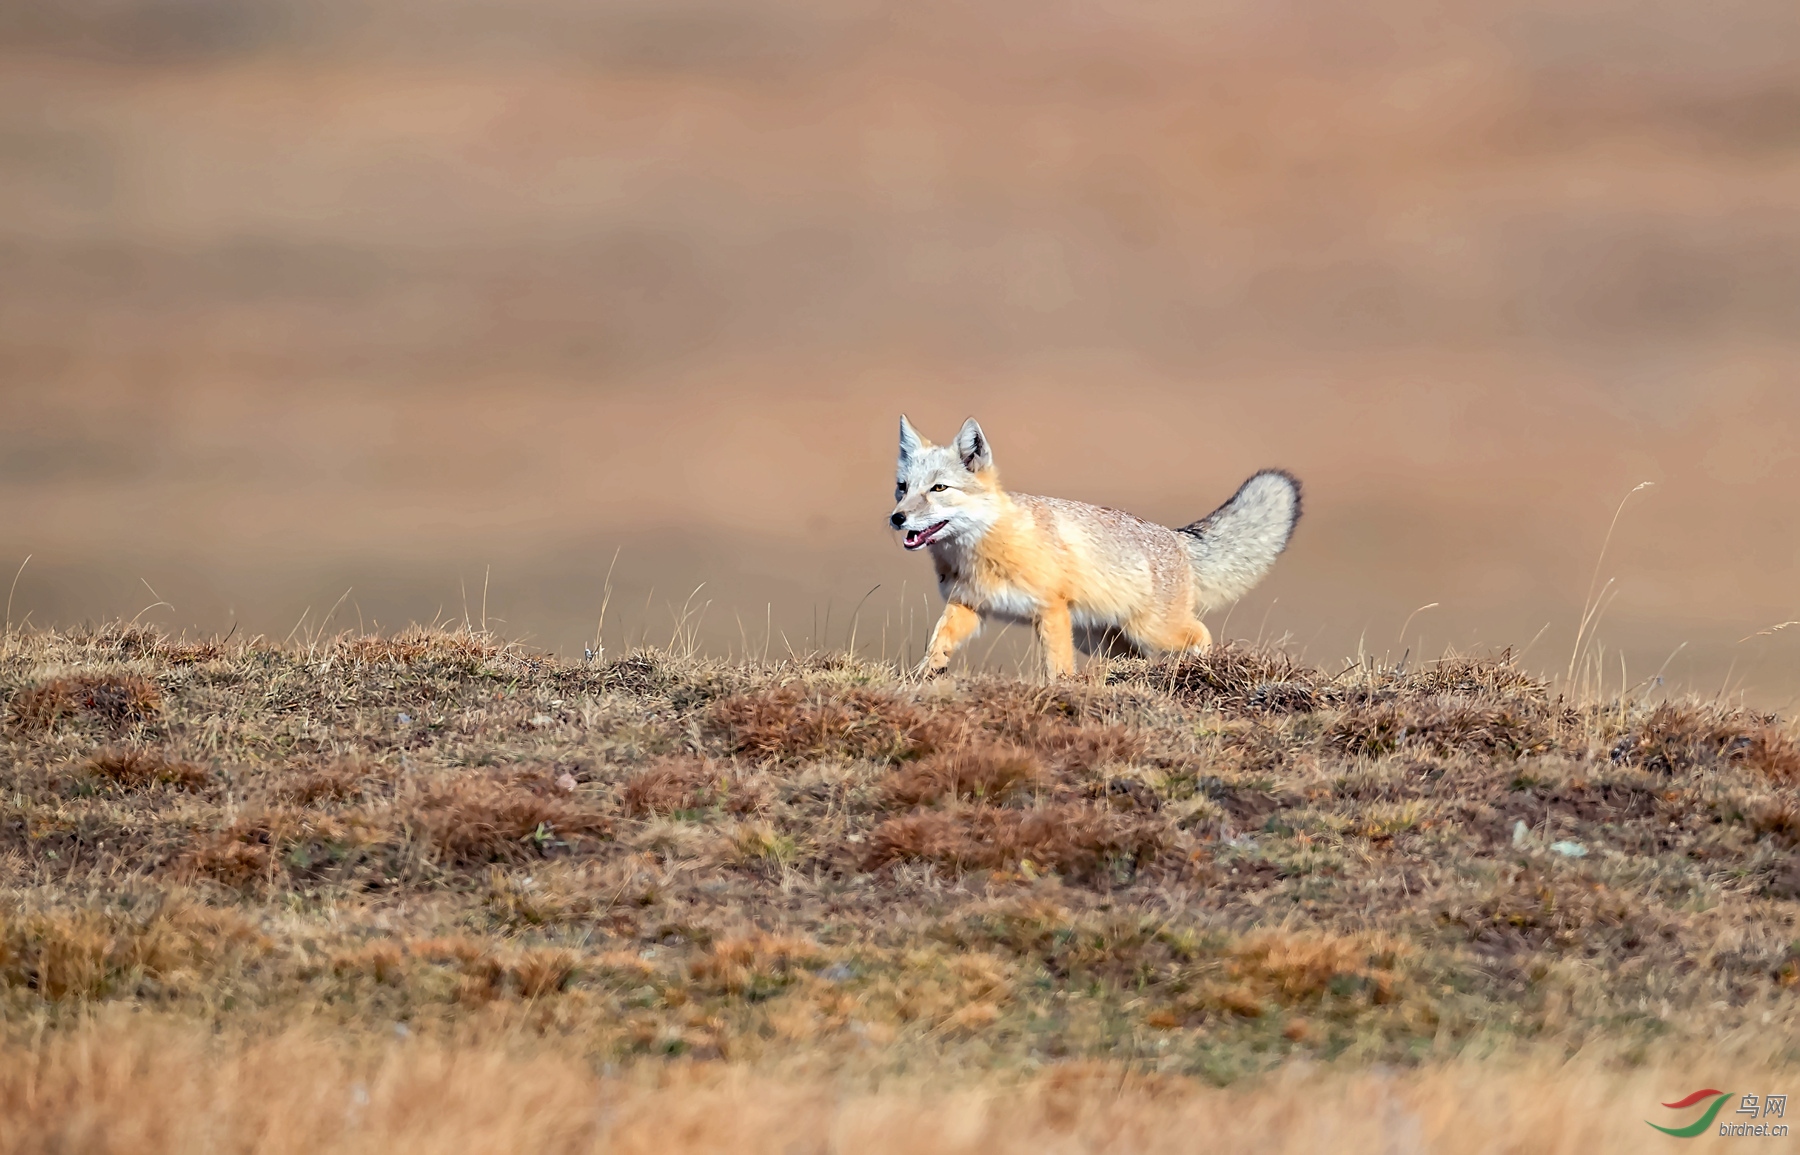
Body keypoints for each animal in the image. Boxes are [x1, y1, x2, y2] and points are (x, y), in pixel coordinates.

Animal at [882, 413, 1296, 680]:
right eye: (903, 487)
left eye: (938, 488)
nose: (897, 519)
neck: (979, 554)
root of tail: (1175, 536)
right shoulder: (969, 605)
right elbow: (938, 643)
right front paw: (925, 675)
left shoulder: (1051, 610)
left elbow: (1058, 668)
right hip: (1102, 640)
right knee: (1140, 658)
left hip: (1151, 630)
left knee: (1201, 635)